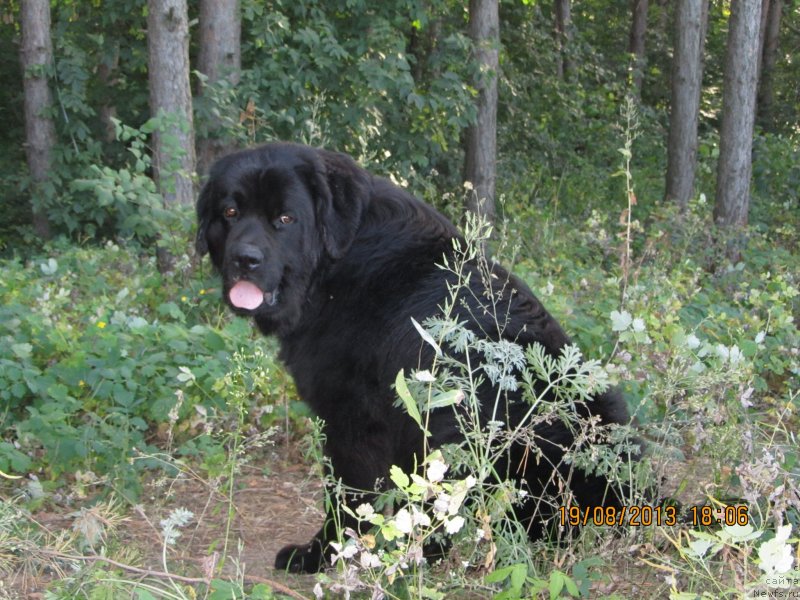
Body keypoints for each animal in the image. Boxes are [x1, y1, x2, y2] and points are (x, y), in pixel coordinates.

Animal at [195, 143, 636, 576]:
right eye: (230, 213)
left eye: (285, 219)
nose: (244, 259)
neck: (334, 270)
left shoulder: (352, 417)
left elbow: (346, 493)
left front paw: (325, 552)